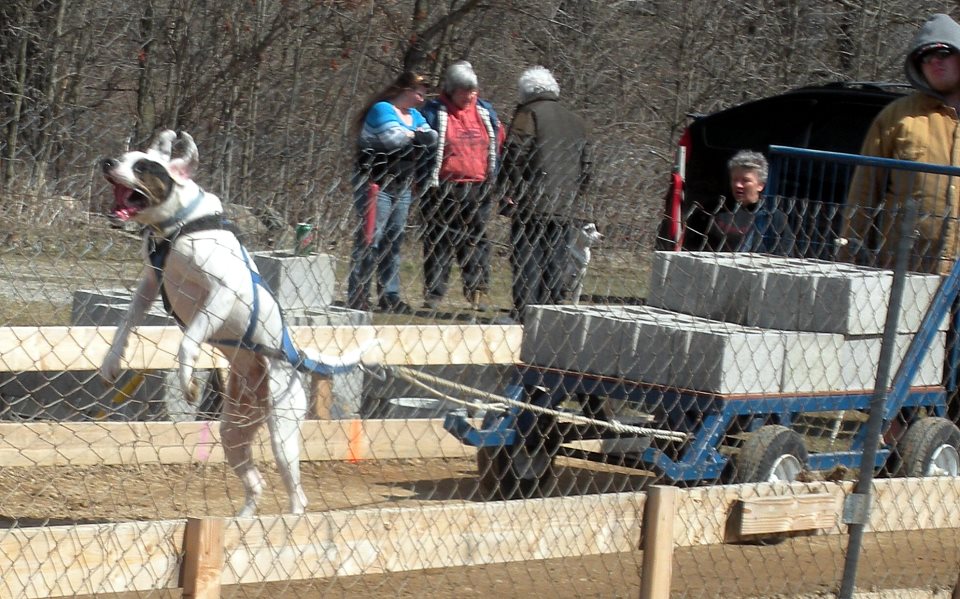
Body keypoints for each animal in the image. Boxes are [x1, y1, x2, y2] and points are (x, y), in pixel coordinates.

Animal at [98, 130, 368, 516]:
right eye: (124, 156)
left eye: (143, 166)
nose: (106, 161)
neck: (179, 226)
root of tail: (293, 360)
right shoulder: (149, 285)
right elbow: (124, 323)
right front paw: (111, 362)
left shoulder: (223, 293)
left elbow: (189, 341)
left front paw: (188, 382)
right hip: (233, 433)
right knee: (256, 483)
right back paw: (244, 520)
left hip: (282, 434)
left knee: (297, 494)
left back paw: (291, 520)